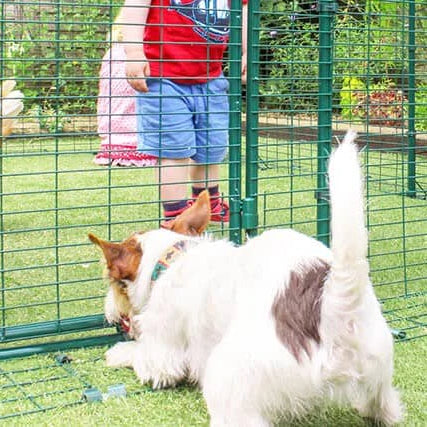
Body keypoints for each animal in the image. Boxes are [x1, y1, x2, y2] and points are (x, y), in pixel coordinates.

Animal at [88, 131, 402, 427]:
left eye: (115, 285)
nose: (110, 312)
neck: (169, 259)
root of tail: (332, 314)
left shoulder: (162, 354)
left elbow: (141, 356)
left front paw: (117, 352)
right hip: (379, 365)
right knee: (385, 404)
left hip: (227, 375)